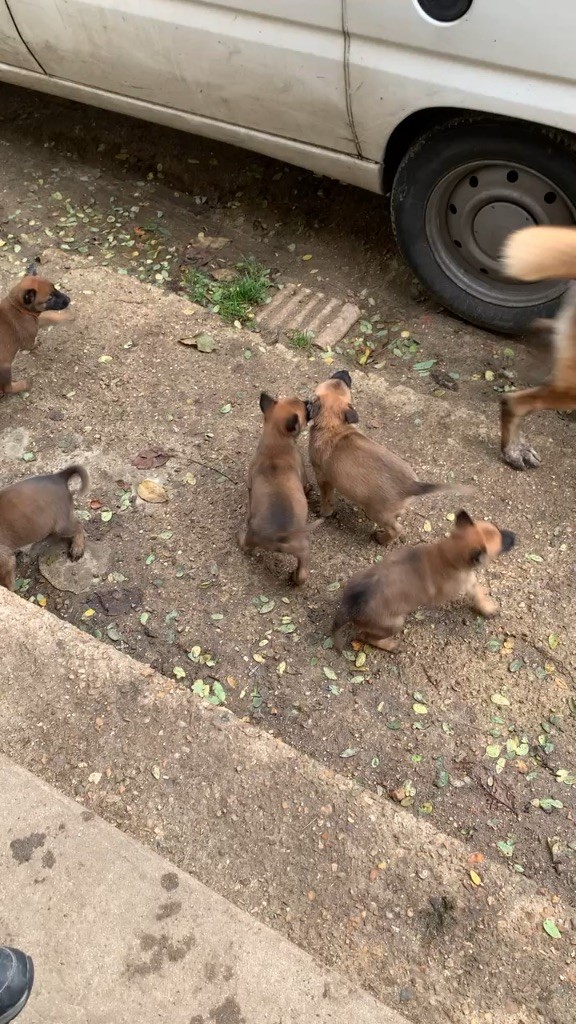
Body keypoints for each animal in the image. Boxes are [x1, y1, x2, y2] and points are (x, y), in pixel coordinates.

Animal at [0, 258, 71, 397]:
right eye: (49, 298)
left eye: (55, 288)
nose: (69, 299)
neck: (17, 307)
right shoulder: (27, 340)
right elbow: (32, 344)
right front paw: (37, 344)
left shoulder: (36, 319)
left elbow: (50, 317)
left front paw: (67, 316)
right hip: (5, 367)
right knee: (8, 389)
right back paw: (24, 384)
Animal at [238, 391, 317, 585]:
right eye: (304, 408)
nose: (309, 401)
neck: (276, 441)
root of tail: (278, 534)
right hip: (301, 547)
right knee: (303, 568)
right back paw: (295, 577)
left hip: (257, 538)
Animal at [307, 368, 469, 544]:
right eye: (340, 381)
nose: (344, 371)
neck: (333, 426)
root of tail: (412, 485)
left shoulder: (323, 478)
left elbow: (326, 500)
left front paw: (322, 512)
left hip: (377, 512)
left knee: (396, 529)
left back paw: (381, 539)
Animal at [330, 507, 512, 651]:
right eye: (501, 544)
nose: (514, 535)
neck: (448, 554)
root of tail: (350, 606)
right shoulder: (463, 583)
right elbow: (475, 589)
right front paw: (487, 607)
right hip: (393, 623)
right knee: (365, 637)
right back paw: (390, 645)